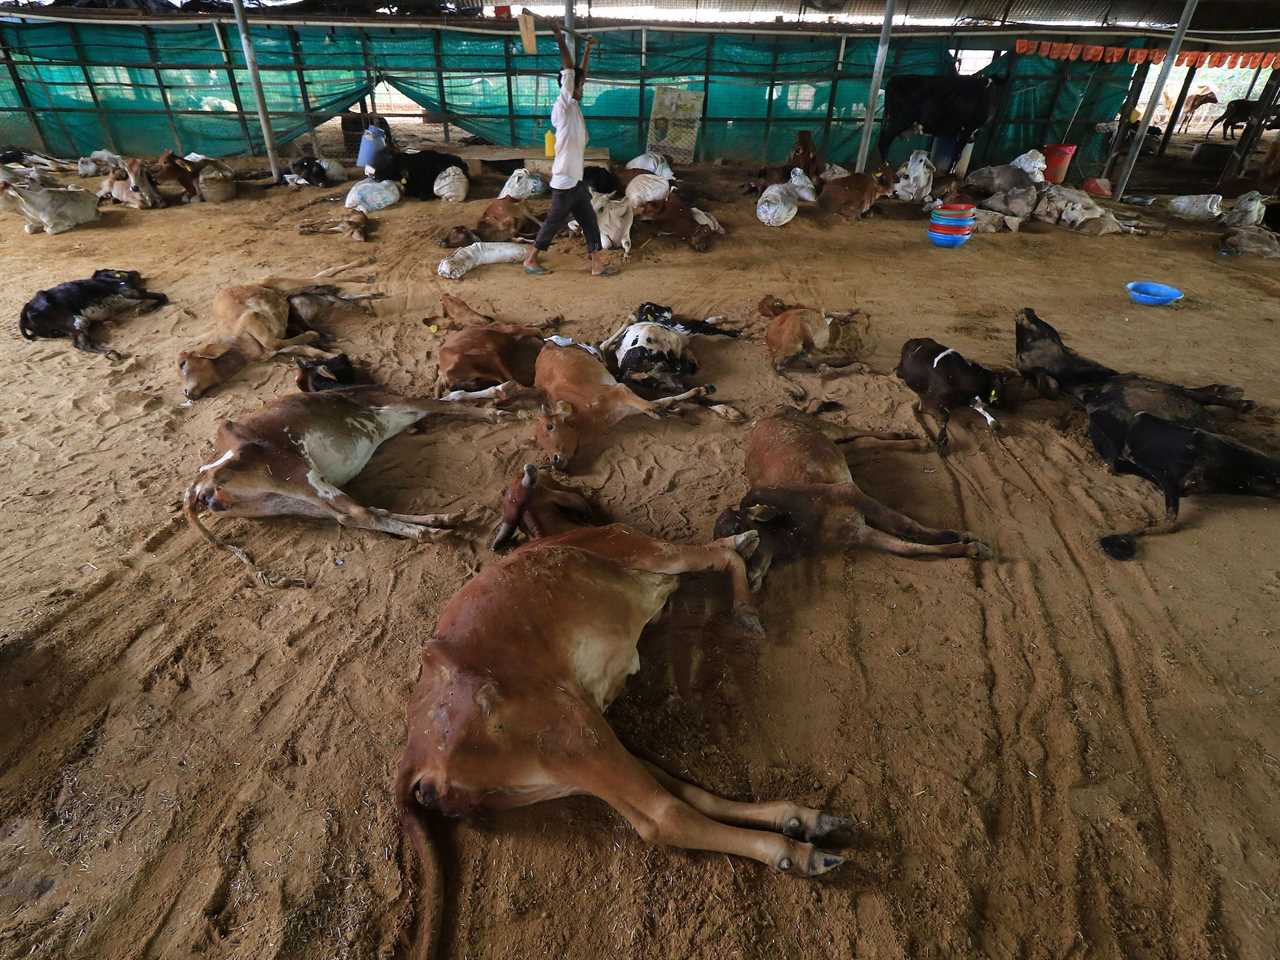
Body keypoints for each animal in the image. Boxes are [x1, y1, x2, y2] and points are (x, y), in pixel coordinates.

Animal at [1008, 308, 1269, 560]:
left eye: (1024, 344)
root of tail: (1170, 480)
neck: (1089, 385)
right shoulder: (1174, 389)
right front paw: (1241, 401)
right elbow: (1204, 393)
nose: (1022, 312)